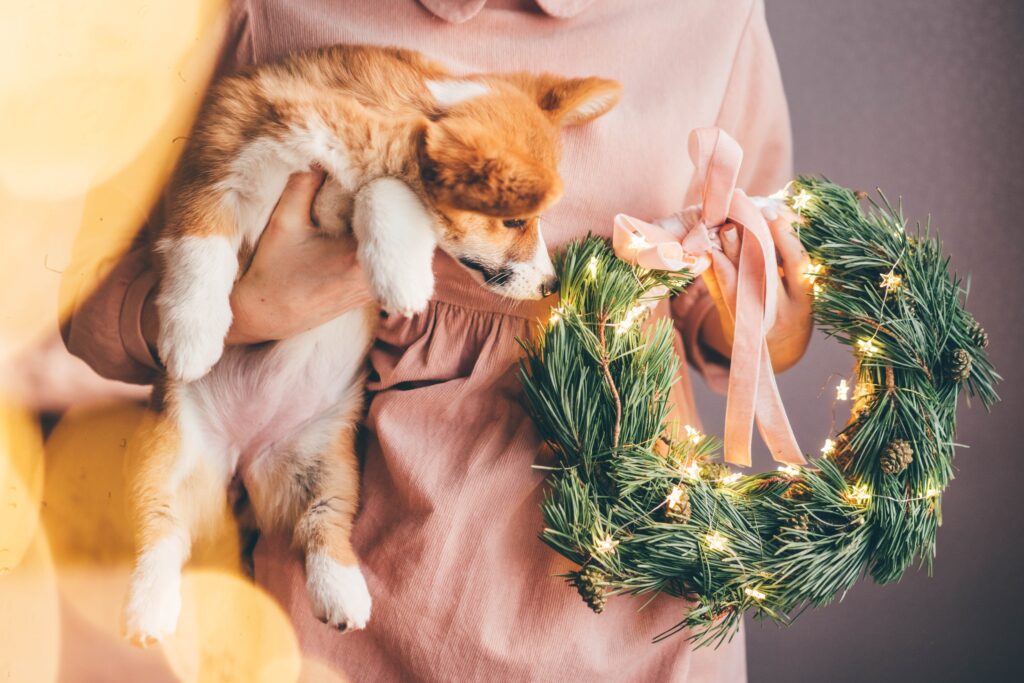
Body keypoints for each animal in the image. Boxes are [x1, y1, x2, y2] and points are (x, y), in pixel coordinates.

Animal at [119, 44, 614, 647]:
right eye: (516, 220)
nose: (548, 286)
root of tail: (242, 455)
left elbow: (388, 188)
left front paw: (400, 268)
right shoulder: (215, 167)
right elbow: (200, 246)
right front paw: (191, 333)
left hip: (329, 464)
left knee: (322, 526)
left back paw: (342, 592)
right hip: (165, 454)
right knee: (162, 527)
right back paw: (149, 608)